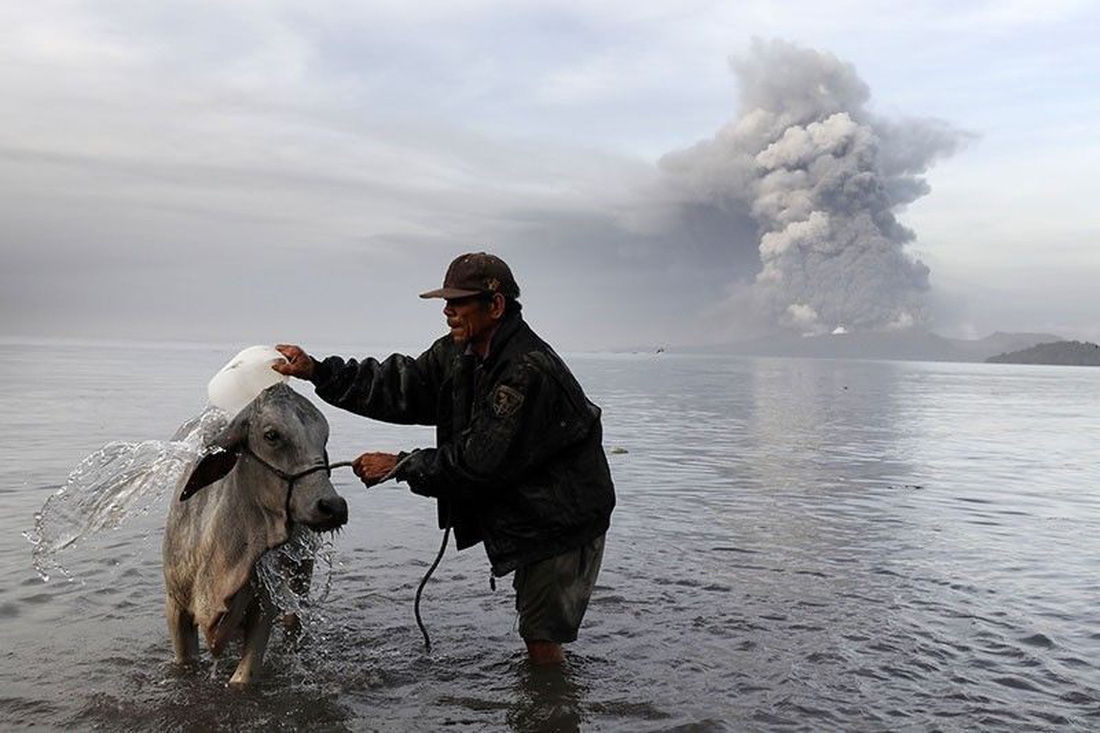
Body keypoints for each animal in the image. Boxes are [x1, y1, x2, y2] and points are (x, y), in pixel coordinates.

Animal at [159, 378, 345, 682]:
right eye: (271, 435)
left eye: (324, 438)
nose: (334, 506)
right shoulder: (175, 605)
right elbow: (186, 663)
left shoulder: (263, 604)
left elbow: (243, 678)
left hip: (301, 573)